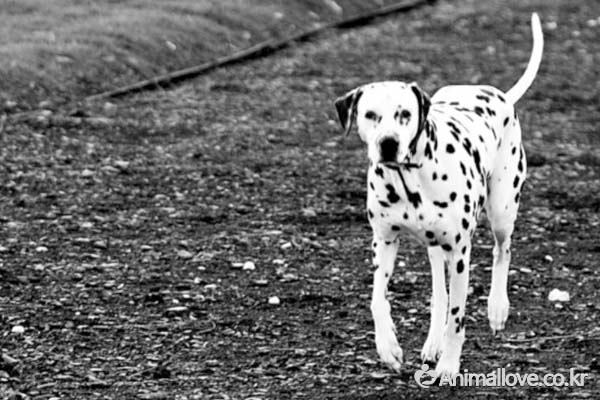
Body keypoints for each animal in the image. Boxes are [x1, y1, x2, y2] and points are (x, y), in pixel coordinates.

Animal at [332, 14, 544, 376]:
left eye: (404, 113)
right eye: (370, 115)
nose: (388, 143)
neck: (410, 181)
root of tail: (498, 93)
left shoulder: (460, 252)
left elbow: (458, 318)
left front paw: (449, 364)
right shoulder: (384, 242)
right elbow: (377, 300)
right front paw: (388, 347)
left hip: (502, 210)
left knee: (502, 251)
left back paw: (496, 308)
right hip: (435, 248)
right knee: (439, 293)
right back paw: (433, 341)